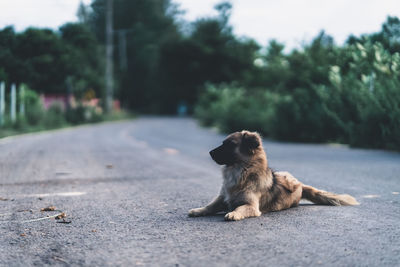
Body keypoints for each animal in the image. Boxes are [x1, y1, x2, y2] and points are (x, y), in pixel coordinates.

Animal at [188, 130, 360, 222]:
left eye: (230, 144)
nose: (210, 153)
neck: (241, 172)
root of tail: (301, 185)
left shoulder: (251, 206)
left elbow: (241, 208)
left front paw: (234, 213)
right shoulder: (222, 198)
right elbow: (210, 206)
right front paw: (198, 210)